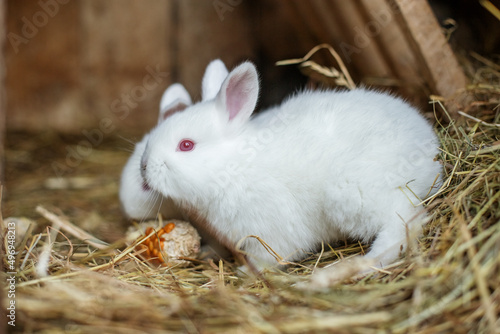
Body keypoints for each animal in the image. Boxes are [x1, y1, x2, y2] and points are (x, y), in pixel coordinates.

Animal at [140, 61, 442, 272]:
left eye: (186, 145)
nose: (144, 167)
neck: (232, 166)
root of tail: (431, 152)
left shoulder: (271, 230)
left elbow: (271, 256)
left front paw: (247, 273)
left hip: (354, 195)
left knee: (403, 223)